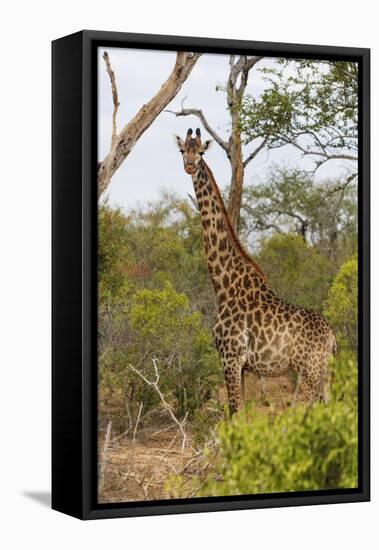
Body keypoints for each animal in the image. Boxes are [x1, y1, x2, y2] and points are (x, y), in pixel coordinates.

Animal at [174, 128, 336, 414]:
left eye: (201, 151)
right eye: (183, 150)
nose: (190, 166)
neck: (224, 286)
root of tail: (332, 337)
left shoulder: (230, 357)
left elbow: (234, 412)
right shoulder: (242, 366)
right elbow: (239, 413)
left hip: (309, 371)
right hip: (323, 374)